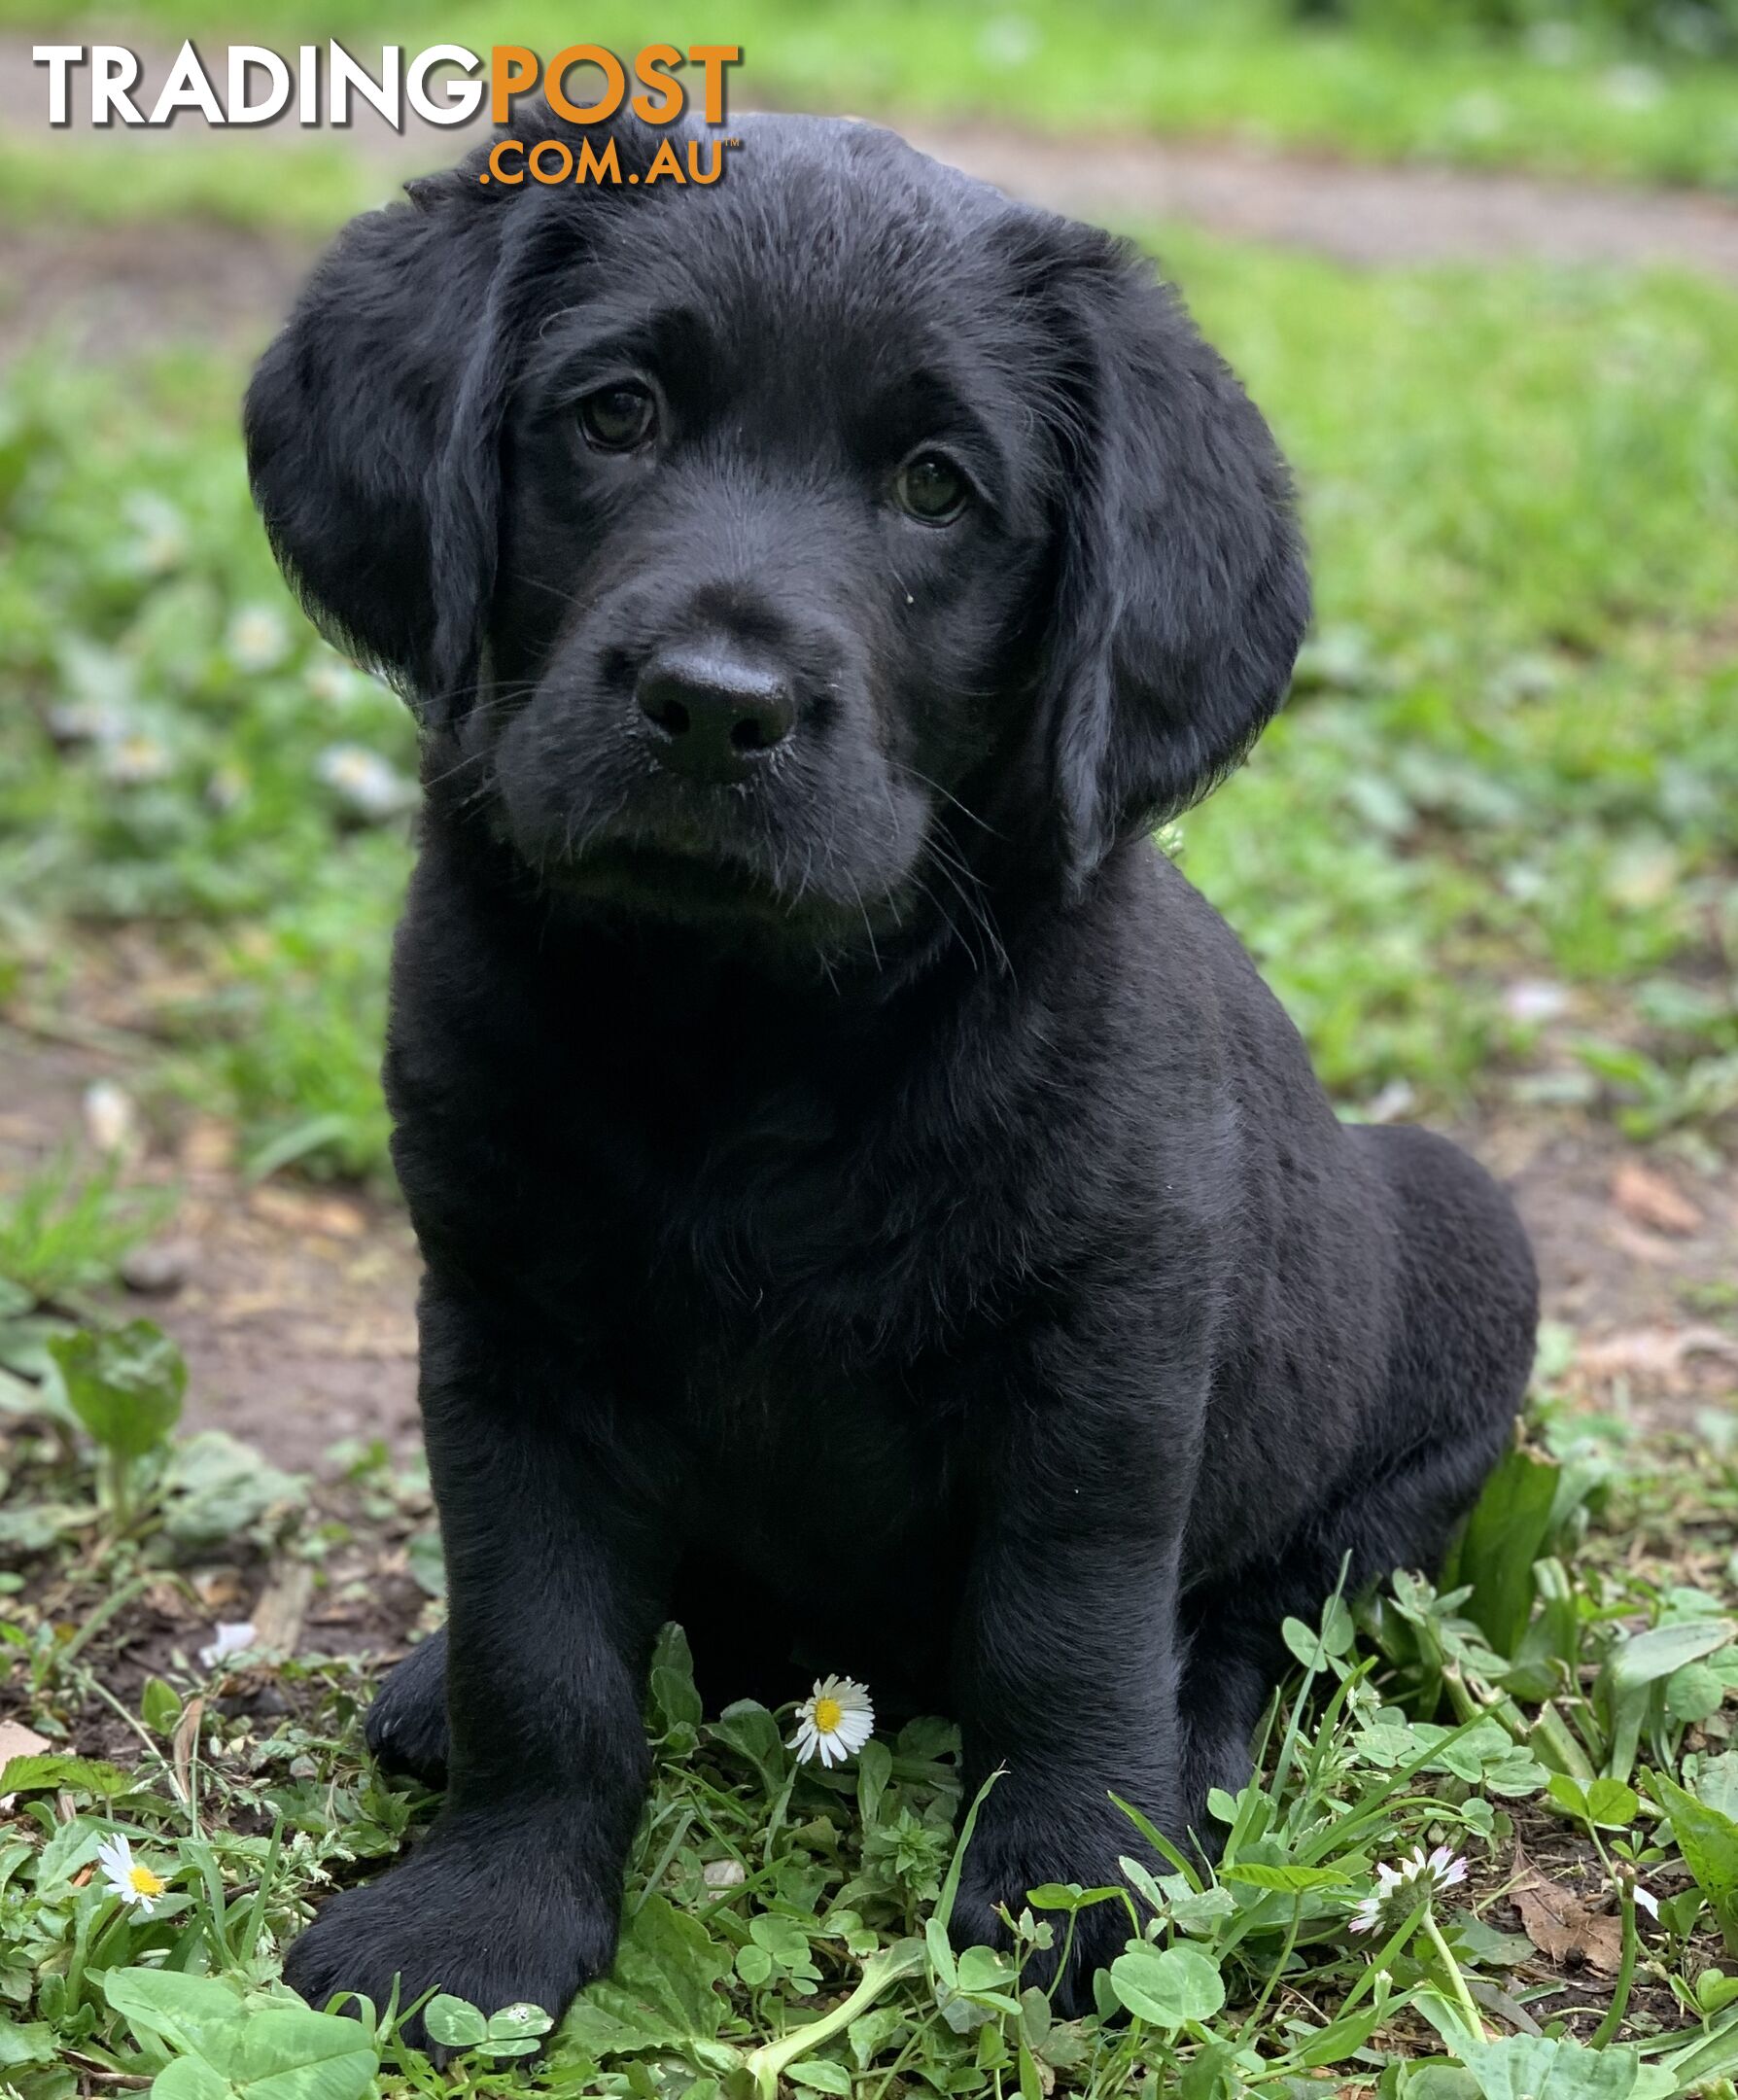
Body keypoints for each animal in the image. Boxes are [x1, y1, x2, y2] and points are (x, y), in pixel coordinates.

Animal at [241, 102, 1536, 2032]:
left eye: (937, 486)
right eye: (613, 415)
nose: (715, 703)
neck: (750, 1024)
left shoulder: (1107, 1349)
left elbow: (1066, 1633)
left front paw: (1077, 1888)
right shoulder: (502, 1333)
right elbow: (539, 1650)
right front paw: (487, 1917)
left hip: (1459, 1251)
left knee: (1272, 1606)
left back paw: (1195, 1758)